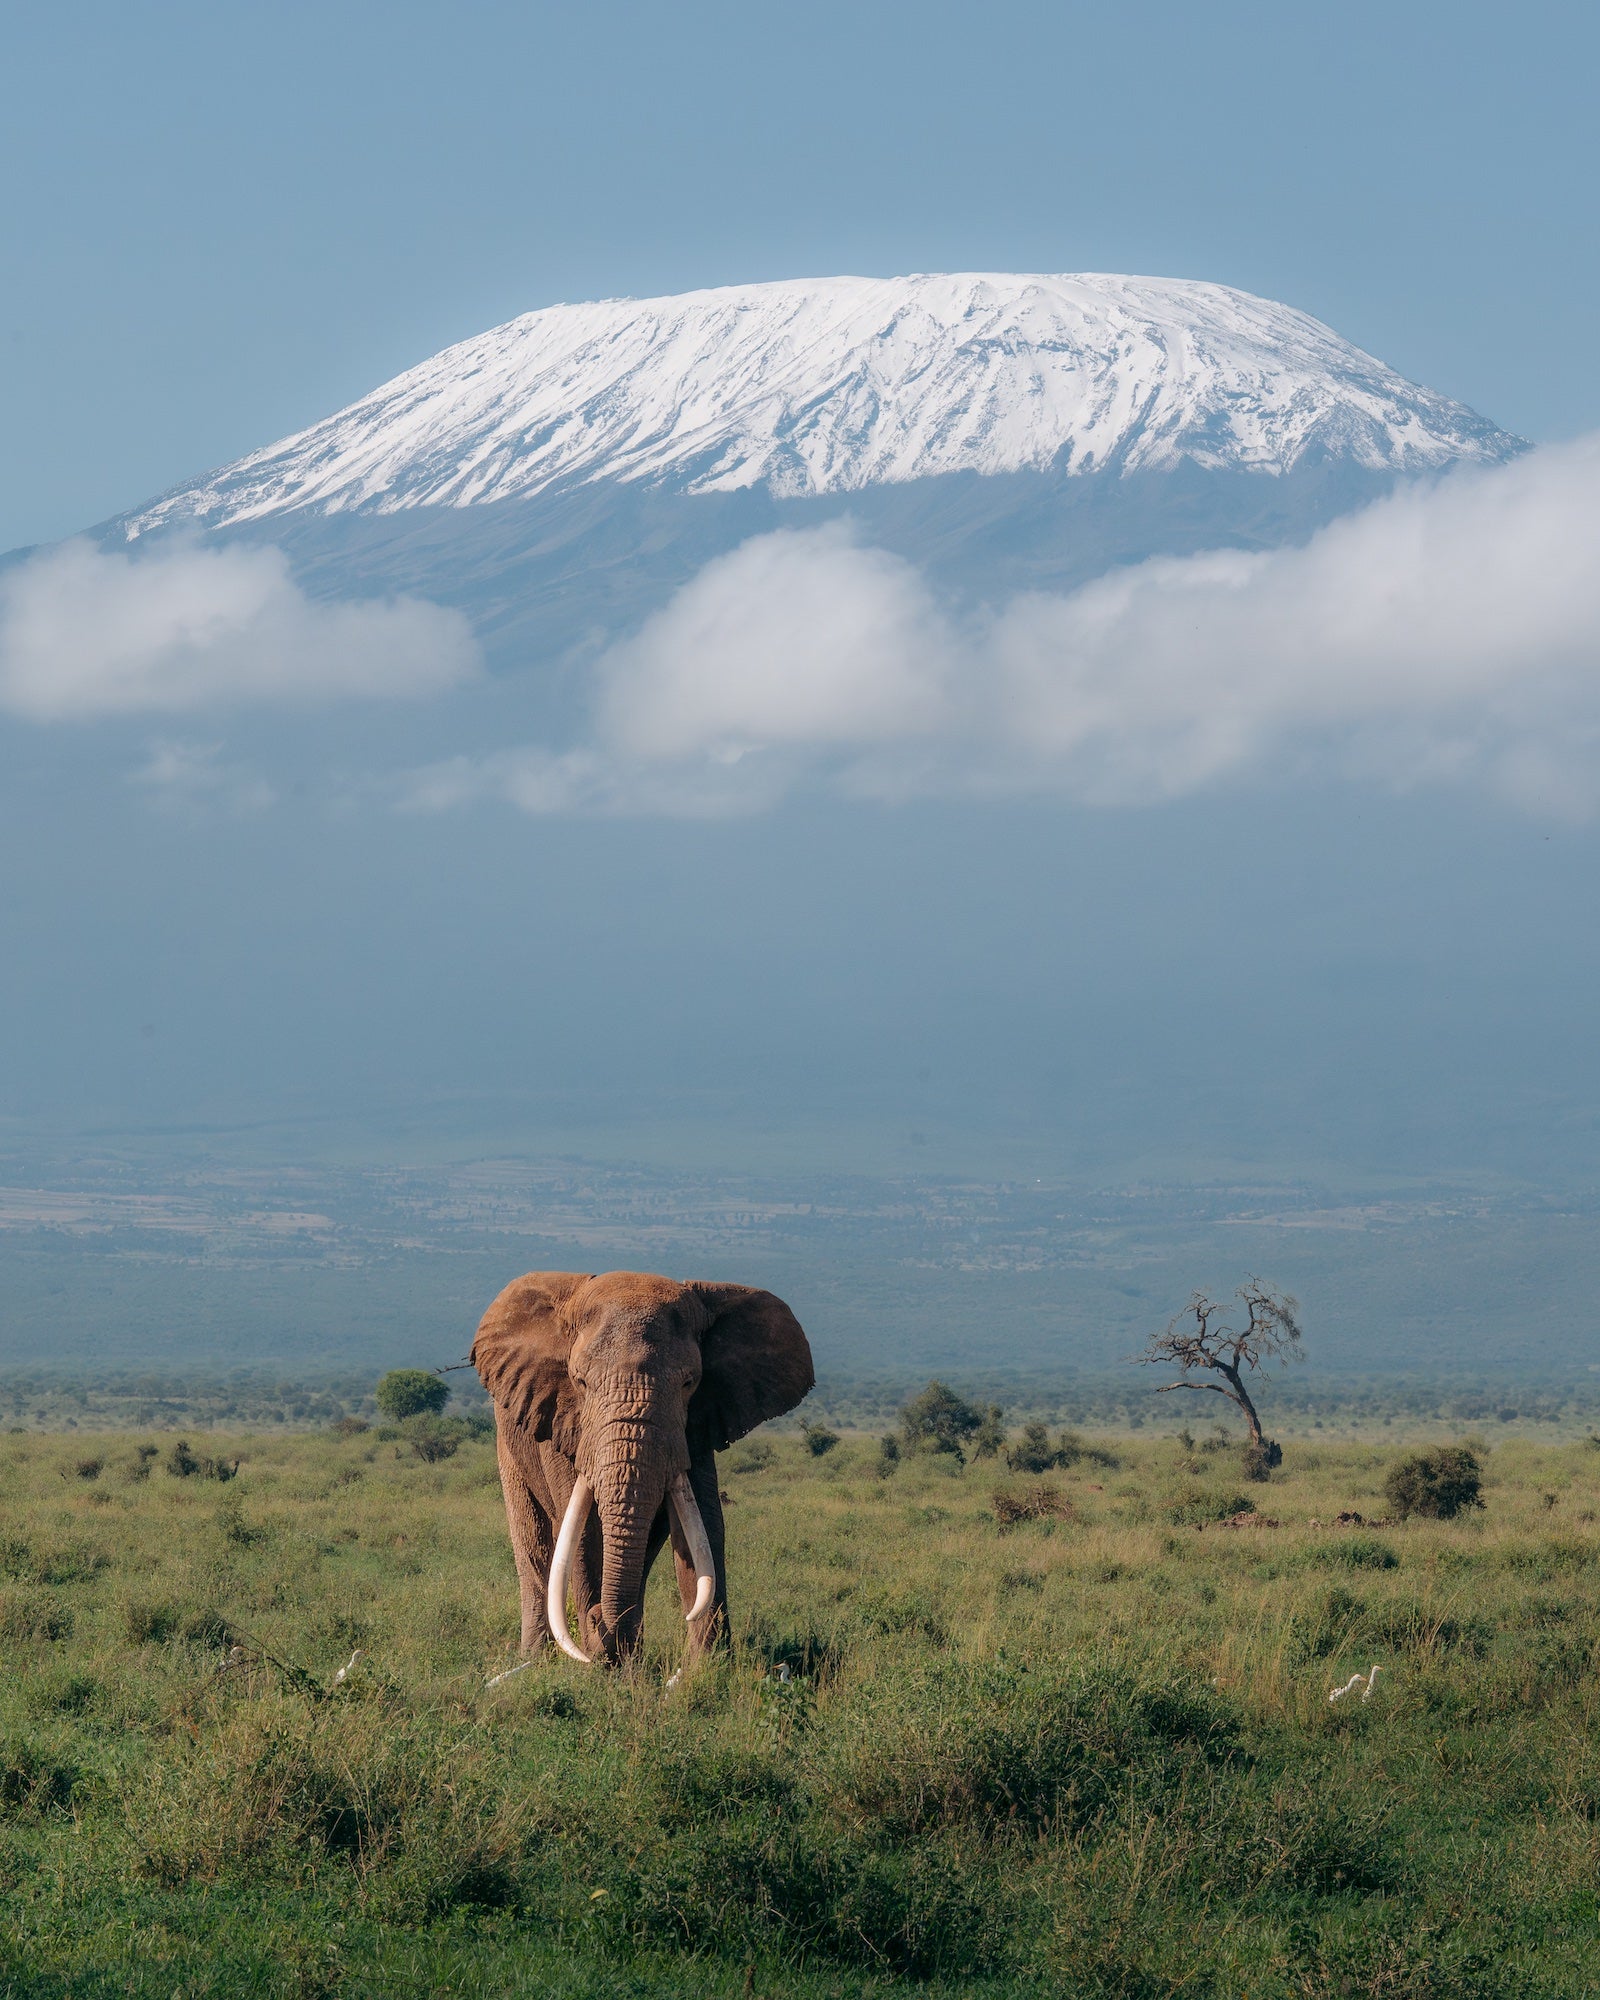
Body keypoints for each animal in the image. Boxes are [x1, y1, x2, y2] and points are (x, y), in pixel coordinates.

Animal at [472, 1269, 814, 1665]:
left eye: (689, 1383)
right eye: (580, 1382)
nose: (596, 1622)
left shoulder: (696, 1424)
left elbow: (703, 1528)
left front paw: (704, 1668)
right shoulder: (562, 1420)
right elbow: (583, 1533)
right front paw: (598, 1662)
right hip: (508, 1441)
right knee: (533, 1544)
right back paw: (536, 1658)